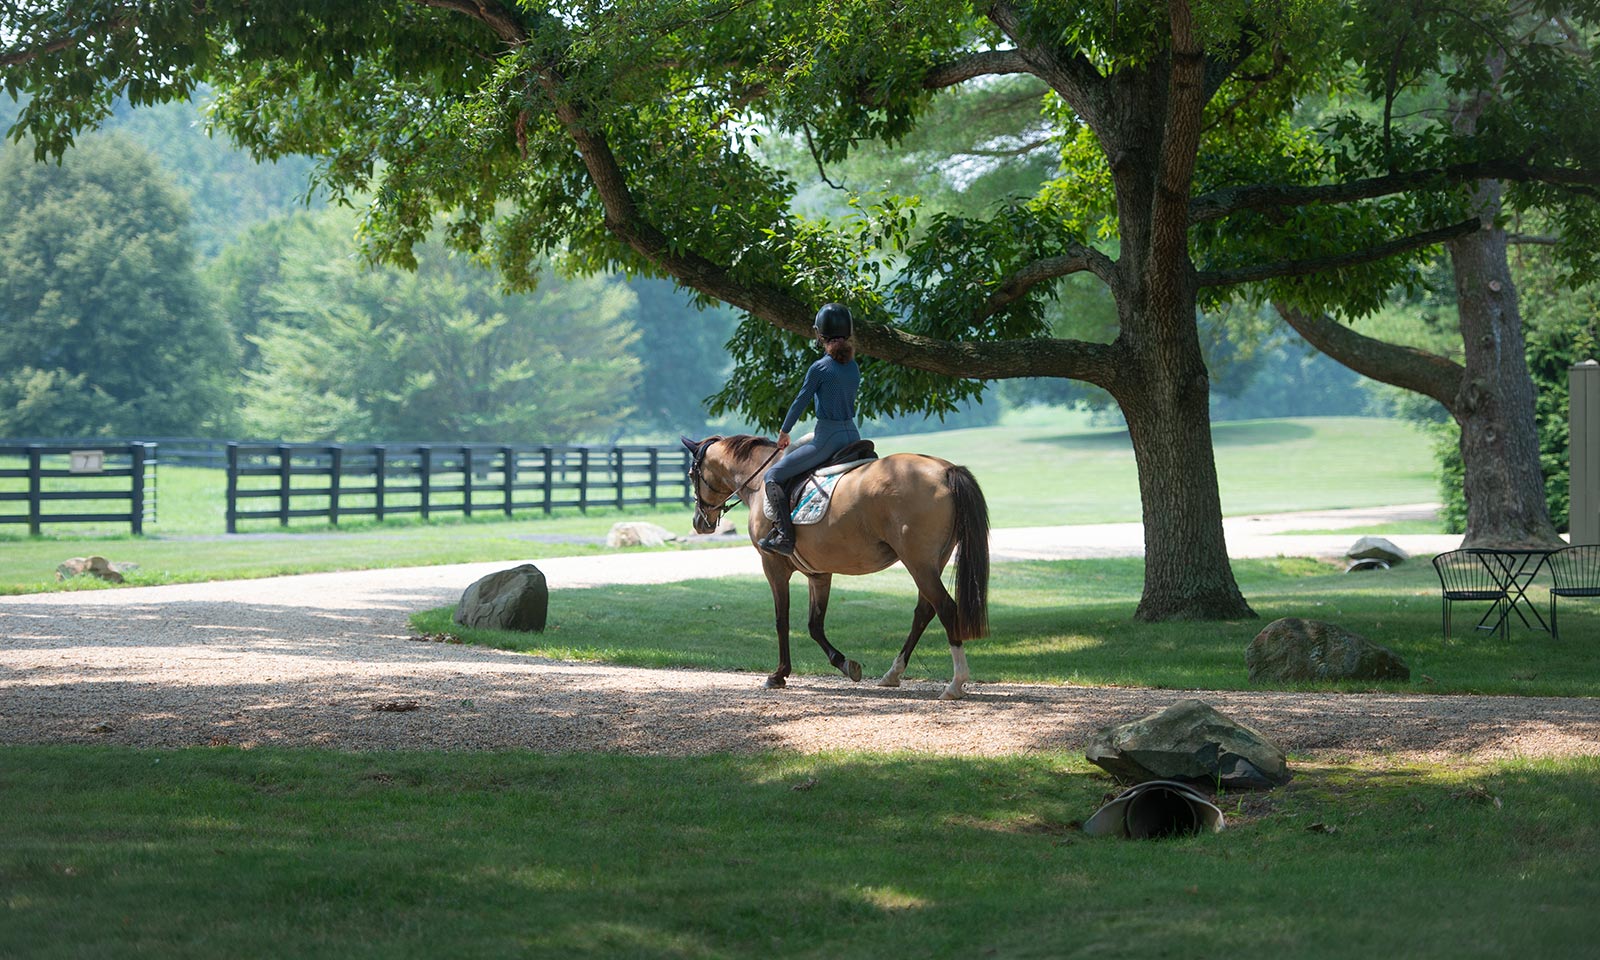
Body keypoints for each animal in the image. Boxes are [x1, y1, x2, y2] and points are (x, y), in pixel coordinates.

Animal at [678, 435, 985, 697]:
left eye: (692, 475)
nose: (699, 523)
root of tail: (946, 470)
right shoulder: (819, 574)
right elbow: (815, 625)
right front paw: (845, 664)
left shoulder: (773, 566)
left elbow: (782, 620)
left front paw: (778, 674)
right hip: (932, 562)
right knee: (924, 611)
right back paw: (893, 673)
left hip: (918, 563)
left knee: (945, 608)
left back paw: (955, 683)